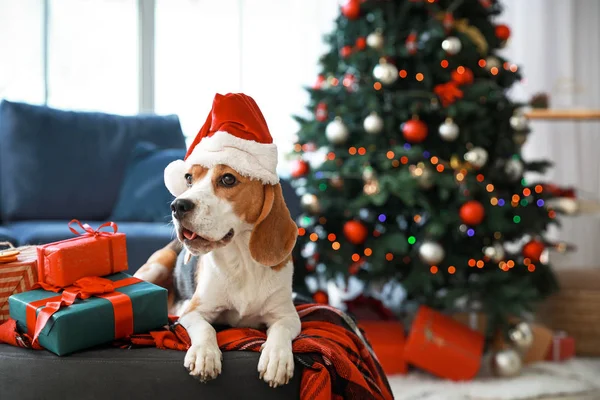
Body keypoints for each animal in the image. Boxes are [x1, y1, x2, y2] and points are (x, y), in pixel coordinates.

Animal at [135, 94, 300, 388]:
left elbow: (280, 329)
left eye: (228, 178)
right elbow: (205, 328)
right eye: (189, 178)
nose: (177, 206)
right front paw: (204, 355)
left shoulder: (289, 315)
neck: (243, 261)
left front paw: (277, 358)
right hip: (155, 267)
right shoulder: (194, 312)